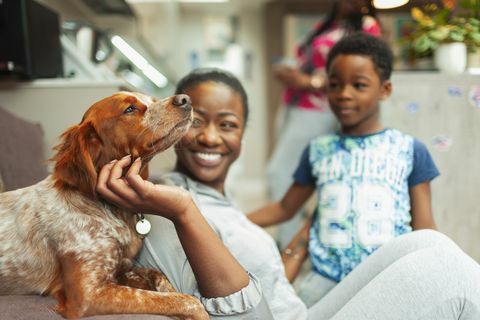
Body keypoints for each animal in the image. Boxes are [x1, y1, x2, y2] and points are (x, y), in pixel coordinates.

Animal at [0, 91, 210, 318]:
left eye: (152, 100)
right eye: (129, 109)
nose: (185, 100)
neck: (110, 211)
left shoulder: (123, 267)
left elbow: (160, 278)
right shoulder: (87, 295)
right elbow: (188, 301)